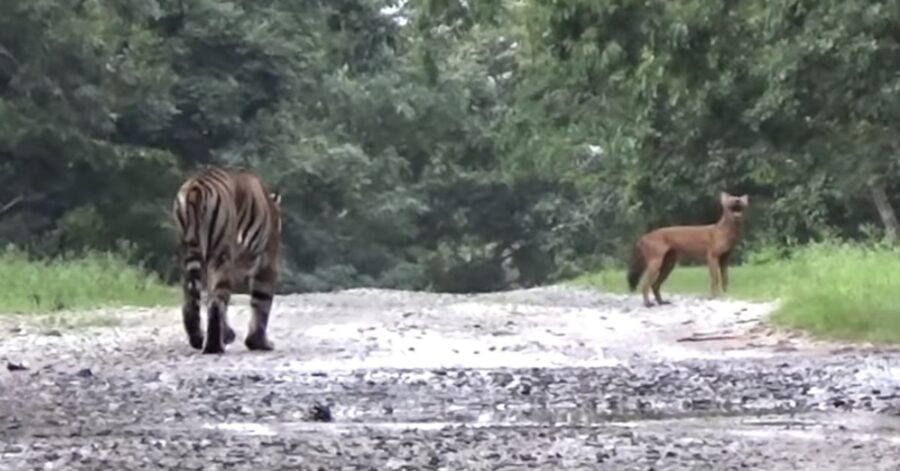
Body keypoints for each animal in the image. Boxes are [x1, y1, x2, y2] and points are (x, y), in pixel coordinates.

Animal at [169, 166, 282, 354]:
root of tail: (196, 186)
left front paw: (229, 334)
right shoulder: (267, 260)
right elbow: (262, 301)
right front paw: (258, 342)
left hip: (189, 253)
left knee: (191, 298)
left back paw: (198, 339)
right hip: (221, 254)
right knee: (216, 302)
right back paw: (214, 346)